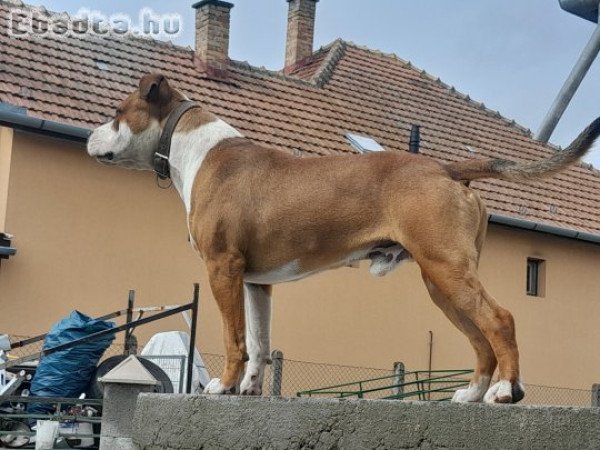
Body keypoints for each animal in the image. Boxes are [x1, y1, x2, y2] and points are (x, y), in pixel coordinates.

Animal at [86, 74, 596, 404]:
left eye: (116, 114)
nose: (91, 136)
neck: (191, 147)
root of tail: (446, 167)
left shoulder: (222, 268)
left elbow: (234, 338)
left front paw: (223, 386)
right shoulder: (255, 281)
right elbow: (259, 340)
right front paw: (249, 389)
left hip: (446, 269)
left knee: (500, 320)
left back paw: (506, 391)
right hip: (441, 282)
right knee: (479, 335)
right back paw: (472, 392)